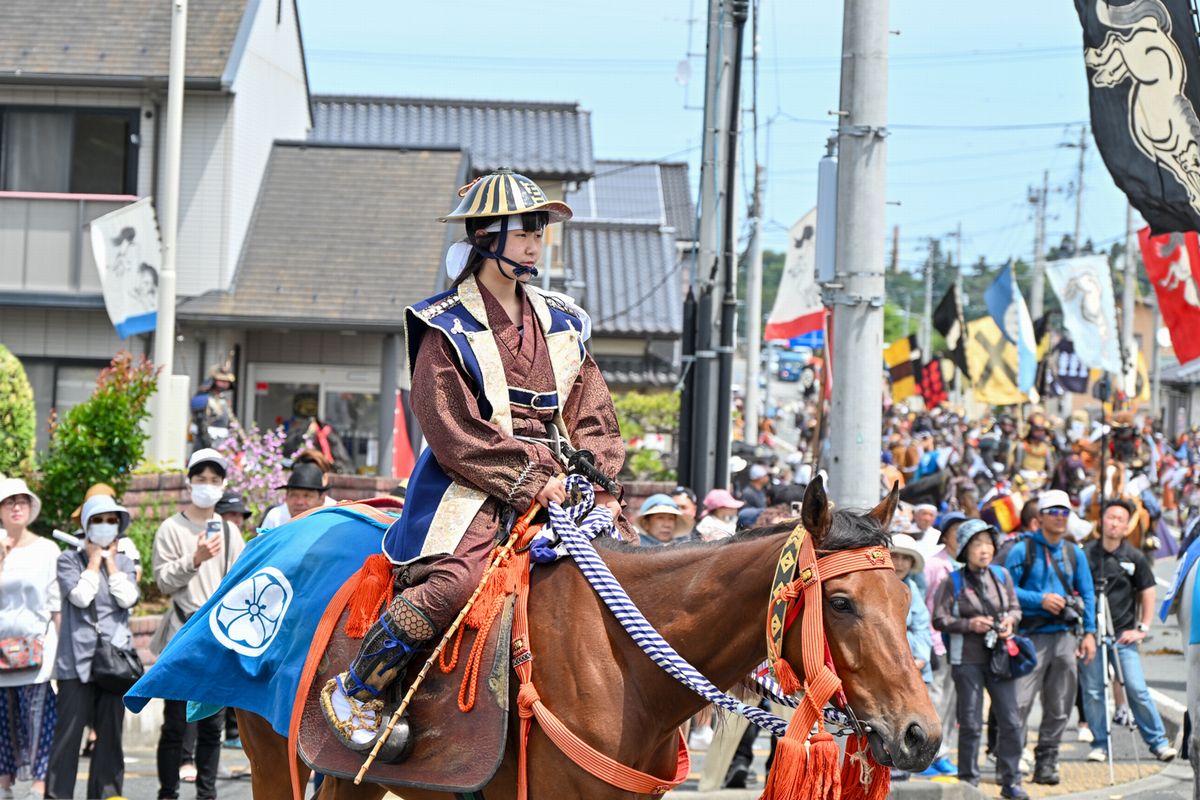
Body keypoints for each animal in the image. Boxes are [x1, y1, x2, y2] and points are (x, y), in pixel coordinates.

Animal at [238, 479, 940, 796]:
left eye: (907, 599)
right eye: (842, 604)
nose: (922, 734)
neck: (627, 666)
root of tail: (270, 536)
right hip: (270, 751)